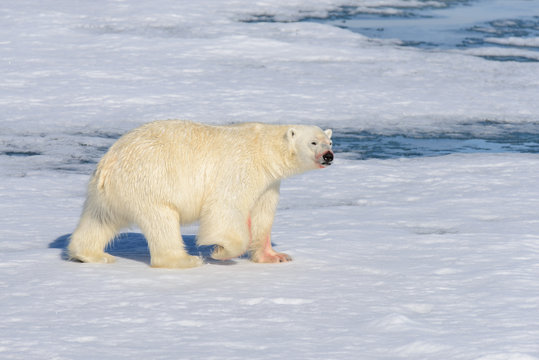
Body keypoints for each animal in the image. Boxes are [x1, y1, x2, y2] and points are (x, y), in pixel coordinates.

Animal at [68, 120, 334, 268]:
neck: (264, 150)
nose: (329, 156)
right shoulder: (240, 168)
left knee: (99, 219)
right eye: (313, 142)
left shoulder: (268, 183)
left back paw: (90, 254)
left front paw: (276, 256)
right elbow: (225, 208)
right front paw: (221, 251)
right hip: (150, 181)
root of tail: (109, 163)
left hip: (108, 193)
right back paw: (184, 260)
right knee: (162, 221)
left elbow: (262, 215)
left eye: (329, 142)